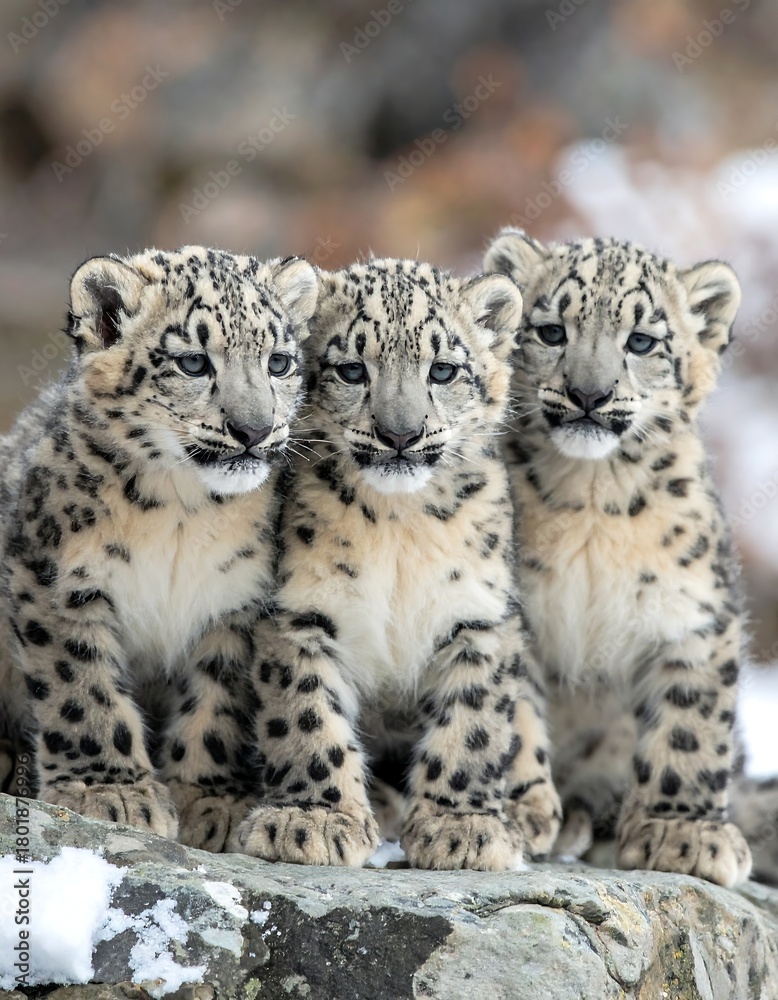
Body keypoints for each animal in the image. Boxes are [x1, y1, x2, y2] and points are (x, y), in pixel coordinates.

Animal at [0, 244, 317, 852]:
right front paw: (111, 791)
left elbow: (219, 702)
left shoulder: (236, 603)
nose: (254, 429)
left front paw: (209, 800)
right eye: (193, 363)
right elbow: (82, 687)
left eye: (279, 363)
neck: (181, 511)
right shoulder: (55, 580)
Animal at [228, 257, 562, 870]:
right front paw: (314, 821)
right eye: (351, 369)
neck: (398, 524)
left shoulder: (477, 616)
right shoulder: (299, 613)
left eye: (444, 370)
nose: (401, 433)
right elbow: (306, 715)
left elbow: (473, 725)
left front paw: (462, 831)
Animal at [482, 228, 753, 888]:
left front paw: (683, 832)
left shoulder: (694, 611)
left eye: (642, 341)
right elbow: (509, 710)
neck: (592, 499)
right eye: (551, 331)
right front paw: (520, 809)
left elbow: (691, 723)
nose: (588, 393)